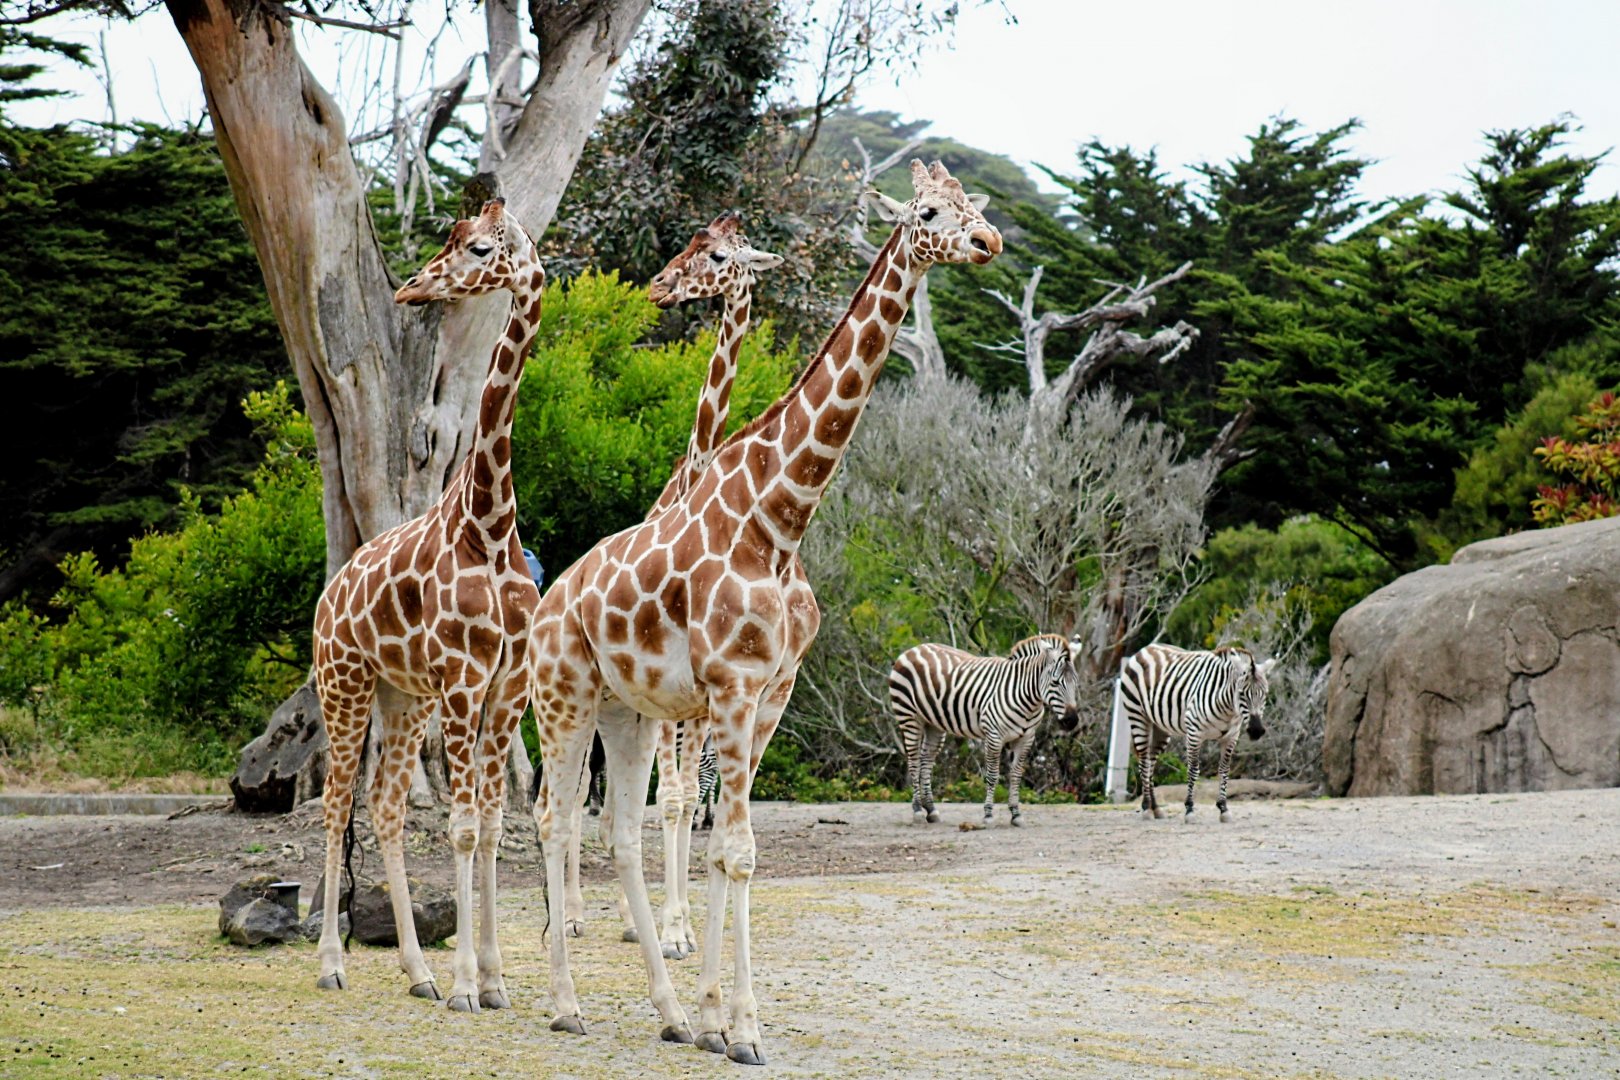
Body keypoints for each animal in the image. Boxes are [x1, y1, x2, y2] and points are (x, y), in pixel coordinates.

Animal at [310, 198, 543, 1014]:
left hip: (402, 695)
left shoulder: (506, 683)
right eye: (453, 238)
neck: (490, 522)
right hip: (343, 683)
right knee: (337, 801)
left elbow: (493, 822)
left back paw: (419, 971)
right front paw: (473, 983)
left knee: (383, 805)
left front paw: (495, 980)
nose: (413, 287)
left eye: (476, 248)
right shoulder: (465, 679)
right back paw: (332, 964)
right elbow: (467, 826)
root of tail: (328, 597)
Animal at [528, 161, 1001, 1062]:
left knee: (616, 831)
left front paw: (714, 1017)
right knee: (553, 817)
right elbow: (735, 846)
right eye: (928, 212)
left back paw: (668, 1012)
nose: (991, 242)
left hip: (624, 710)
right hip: (561, 695)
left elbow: (726, 846)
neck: (780, 519)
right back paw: (559, 999)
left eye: (969, 206)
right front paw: (743, 1028)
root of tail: (546, 599)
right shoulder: (732, 687)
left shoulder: (769, 691)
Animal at [890, 638, 1081, 826]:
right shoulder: (994, 736)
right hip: (909, 717)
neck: (1026, 699)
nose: (1072, 721)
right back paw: (917, 811)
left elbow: (1016, 775)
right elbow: (992, 775)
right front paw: (988, 814)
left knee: (926, 761)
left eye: (1076, 683)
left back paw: (931, 810)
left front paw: (1016, 814)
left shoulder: (1026, 738)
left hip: (934, 724)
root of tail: (914, 648)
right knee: (914, 761)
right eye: (1055, 683)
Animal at [1120, 644, 1276, 822]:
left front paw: (1223, 808)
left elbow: (1224, 770)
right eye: (1241, 693)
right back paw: (1146, 808)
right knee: (1144, 762)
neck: (1228, 709)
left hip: (1160, 727)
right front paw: (1189, 810)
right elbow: (1193, 770)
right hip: (1138, 716)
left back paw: (1156, 808)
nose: (1256, 731)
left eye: (1265, 693)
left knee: (1151, 763)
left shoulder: (1231, 737)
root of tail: (1146, 648)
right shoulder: (1194, 733)